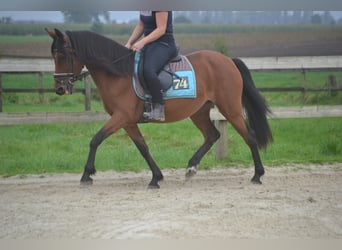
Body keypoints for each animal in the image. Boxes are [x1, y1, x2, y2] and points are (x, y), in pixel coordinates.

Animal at [46, 28, 274, 188]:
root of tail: (227, 60)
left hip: (230, 108)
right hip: (199, 111)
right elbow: (142, 147)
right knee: (212, 135)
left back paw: (257, 175)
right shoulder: (127, 121)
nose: (59, 88)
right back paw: (191, 167)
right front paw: (156, 177)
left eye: (62, 56)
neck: (118, 72)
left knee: (249, 136)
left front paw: (87, 174)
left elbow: (95, 140)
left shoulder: (121, 117)